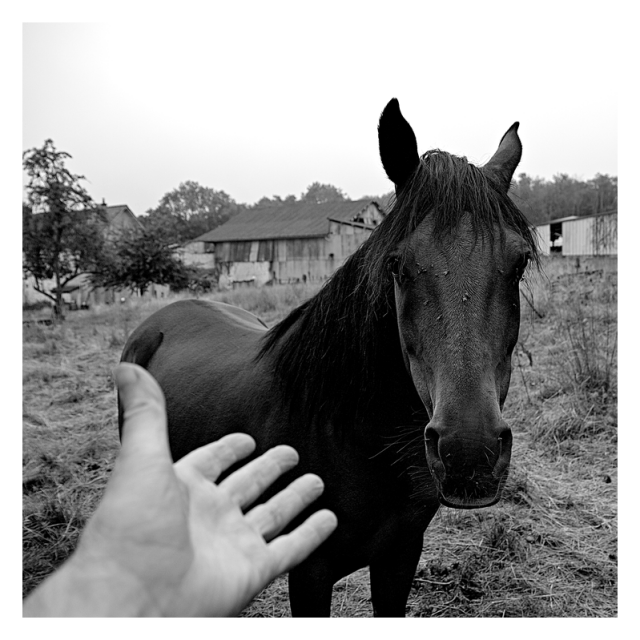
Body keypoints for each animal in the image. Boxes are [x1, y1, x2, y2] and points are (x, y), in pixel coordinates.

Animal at [119, 98, 539, 617]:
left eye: (519, 261)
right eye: (396, 264)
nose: (468, 453)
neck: (350, 432)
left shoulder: (400, 555)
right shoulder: (309, 574)